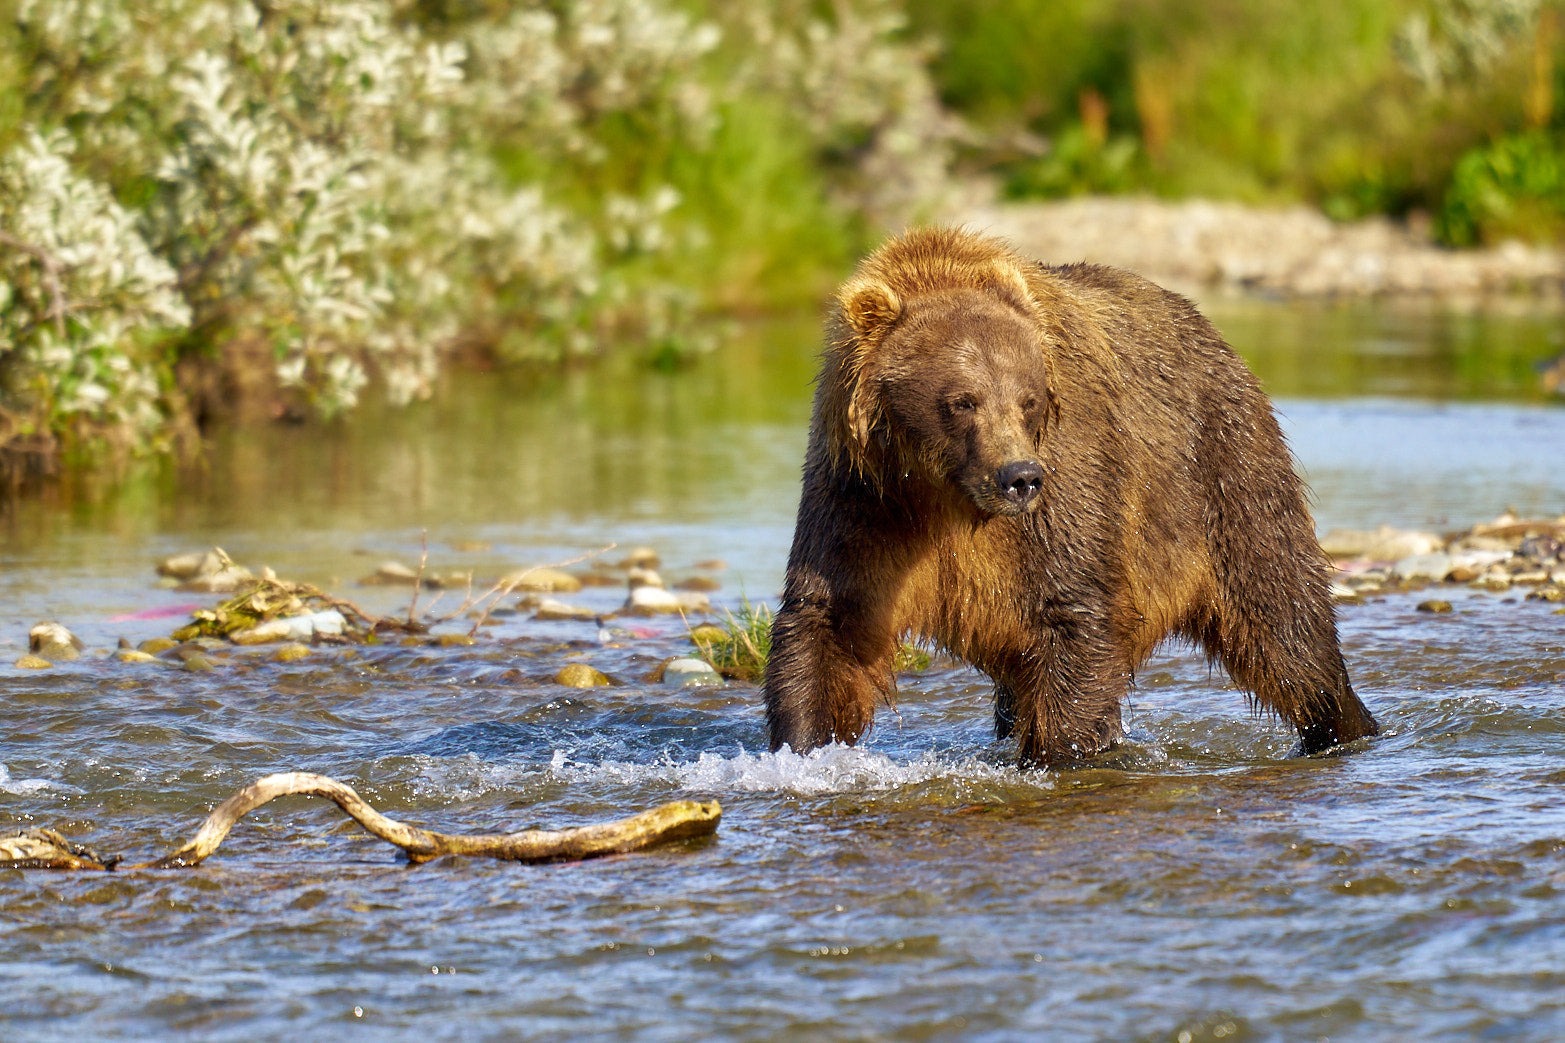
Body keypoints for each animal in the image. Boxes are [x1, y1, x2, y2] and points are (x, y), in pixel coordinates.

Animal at [763, 226, 1379, 767]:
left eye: (1028, 398)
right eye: (962, 400)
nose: (1019, 477)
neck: (946, 499)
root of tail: (1216, 337)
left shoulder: (1068, 478)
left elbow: (1075, 616)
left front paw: (1061, 755)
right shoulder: (864, 499)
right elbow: (828, 620)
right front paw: (804, 745)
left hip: (1224, 469)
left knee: (1283, 618)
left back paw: (1343, 725)